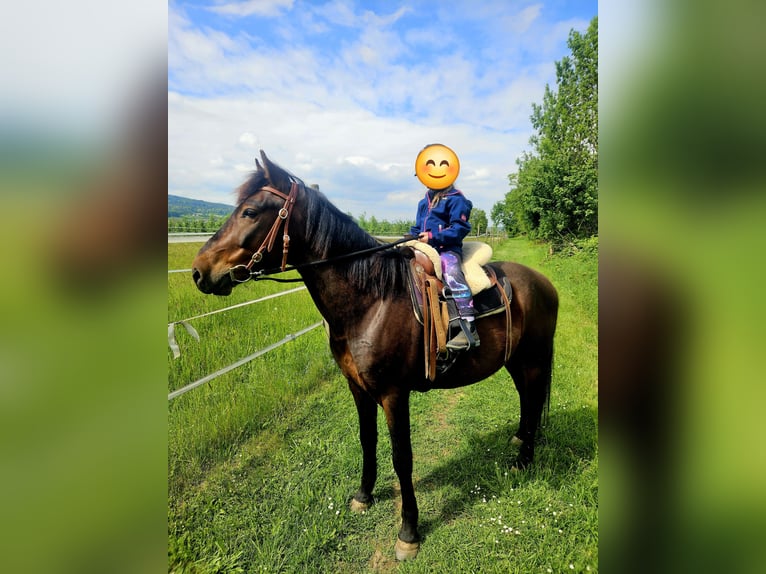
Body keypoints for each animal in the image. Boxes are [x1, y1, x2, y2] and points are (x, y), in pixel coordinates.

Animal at [191, 151, 559, 561]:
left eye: (251, 212)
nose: (199, 271)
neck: (371, 300)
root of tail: (544, 283)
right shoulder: (358, 388)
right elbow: (367, 440)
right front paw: (363, 496)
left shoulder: (394, 395)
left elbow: (402, 457)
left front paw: (409, 532)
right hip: (516, 361)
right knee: (527, 400)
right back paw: (520, 441)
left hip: (533, 360)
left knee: (532, 398)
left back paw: (523, 461)